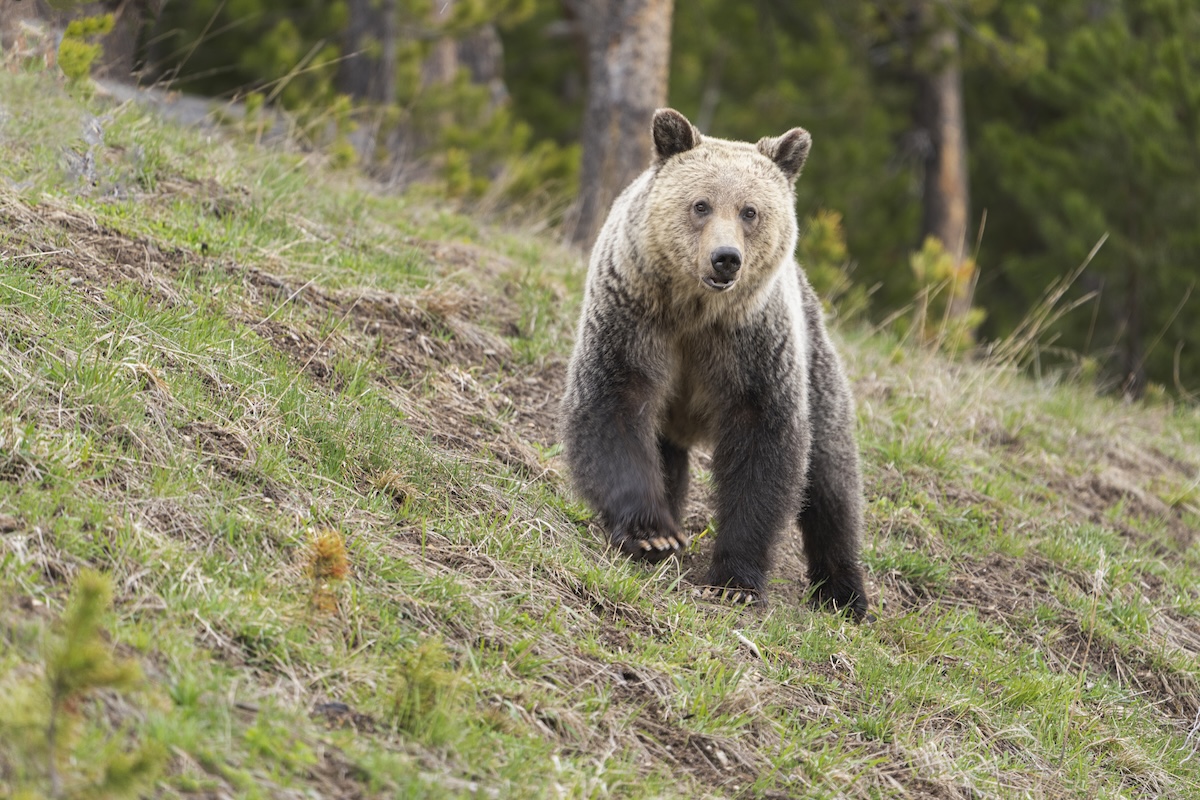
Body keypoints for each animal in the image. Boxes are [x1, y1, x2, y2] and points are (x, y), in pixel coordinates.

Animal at [559, 108, 868, 619]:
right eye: (701, 205)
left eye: (750, 211)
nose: (726, 259)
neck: (695, 310)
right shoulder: (633, 318)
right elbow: (613, 403)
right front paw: (652, 535)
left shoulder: (753, 346)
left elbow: (765, 445)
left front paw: (734, 581)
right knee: (668, 455)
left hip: (816, 365)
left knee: (831, 481)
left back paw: (844, 593)